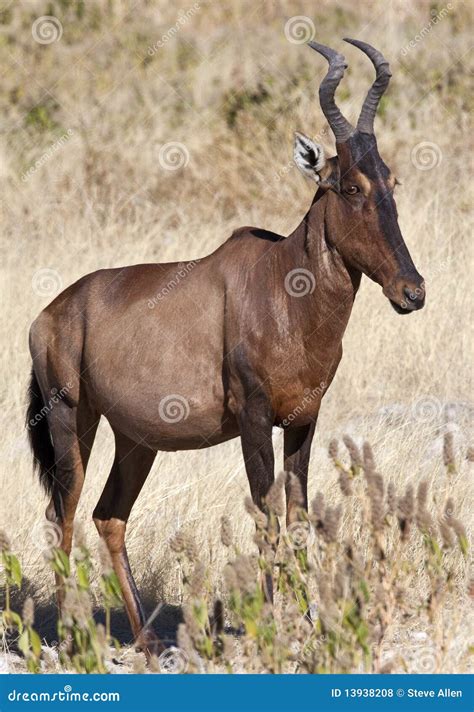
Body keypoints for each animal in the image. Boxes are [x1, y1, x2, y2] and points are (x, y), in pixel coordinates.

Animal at [27, 39, 425, 654]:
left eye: (391, 180)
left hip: (136, 440)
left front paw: (309, 627)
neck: (280, 280)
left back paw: (148, 641)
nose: (412, 290)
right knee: (61, 517)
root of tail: (49, 313)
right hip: (72, 421)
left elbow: (298, 518)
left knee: (108, 515)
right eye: (349, 186)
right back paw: (73, 642)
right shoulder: (254, 419)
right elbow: (266, 519)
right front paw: (273, 631)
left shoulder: (305, 421)